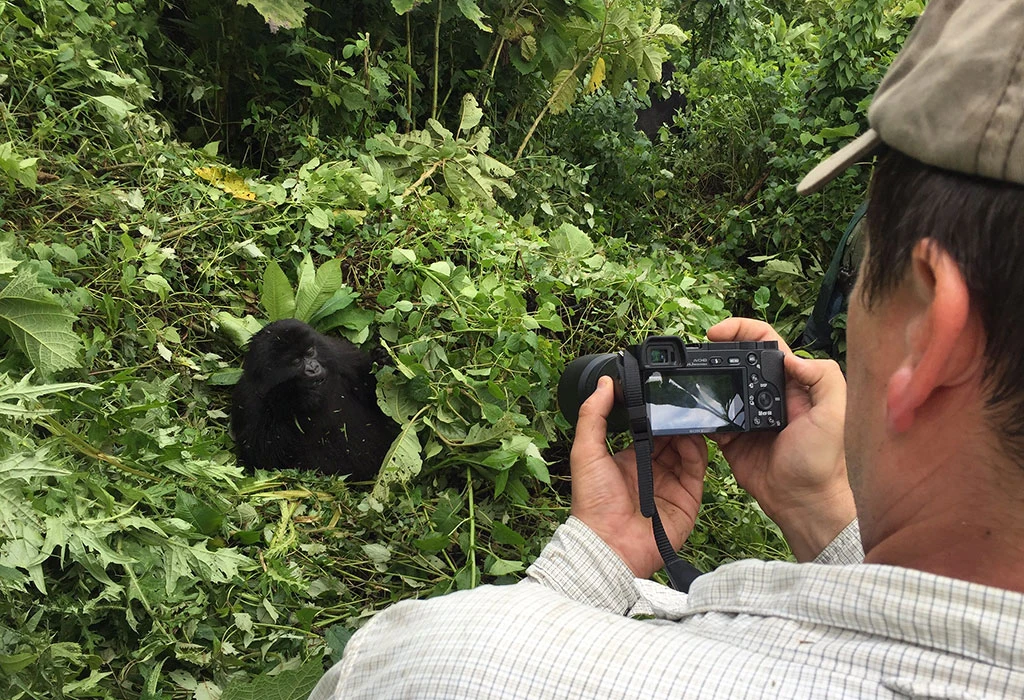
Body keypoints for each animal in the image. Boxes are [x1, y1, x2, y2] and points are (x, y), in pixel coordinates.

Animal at [230, 319, 398, 480]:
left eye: (310, 351)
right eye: (296, 362)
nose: (313, 368)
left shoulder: (341, 354)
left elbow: (377, 401)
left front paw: (380, 359)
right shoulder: (248, 398)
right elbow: (261, 455)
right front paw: (297, 396)